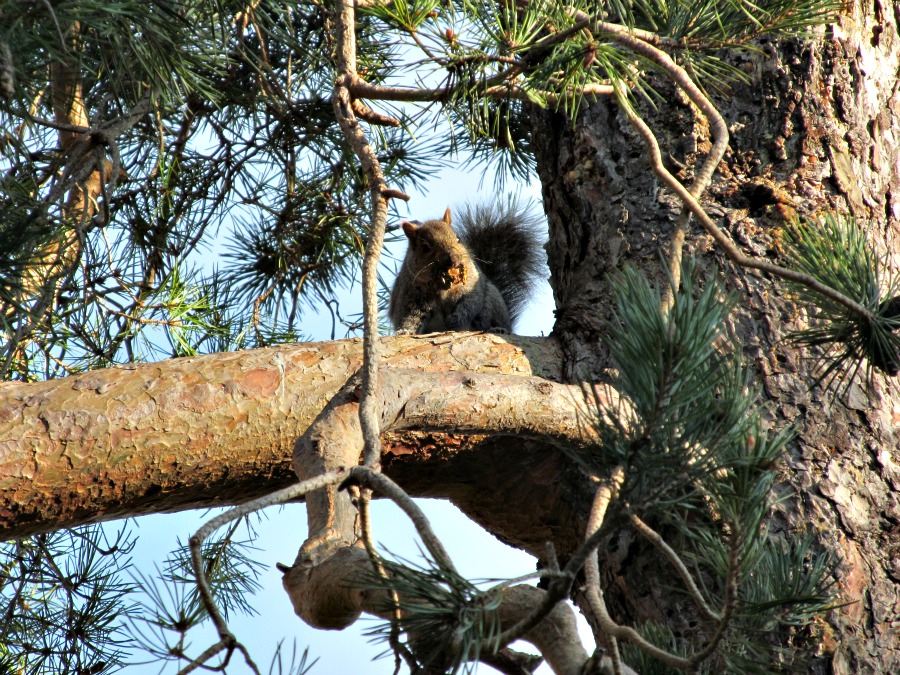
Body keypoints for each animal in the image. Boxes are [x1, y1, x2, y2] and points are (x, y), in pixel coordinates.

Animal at [390, 201, 544, 338]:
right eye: (425, 248)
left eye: (458, 238)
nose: (454, 259)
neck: (443, 286)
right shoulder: (411, 296)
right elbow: (410, 317)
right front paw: (404, 331)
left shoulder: (470, 285)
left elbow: (469, 304)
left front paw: (456, 320)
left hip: (494, 302)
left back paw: (498, 329)